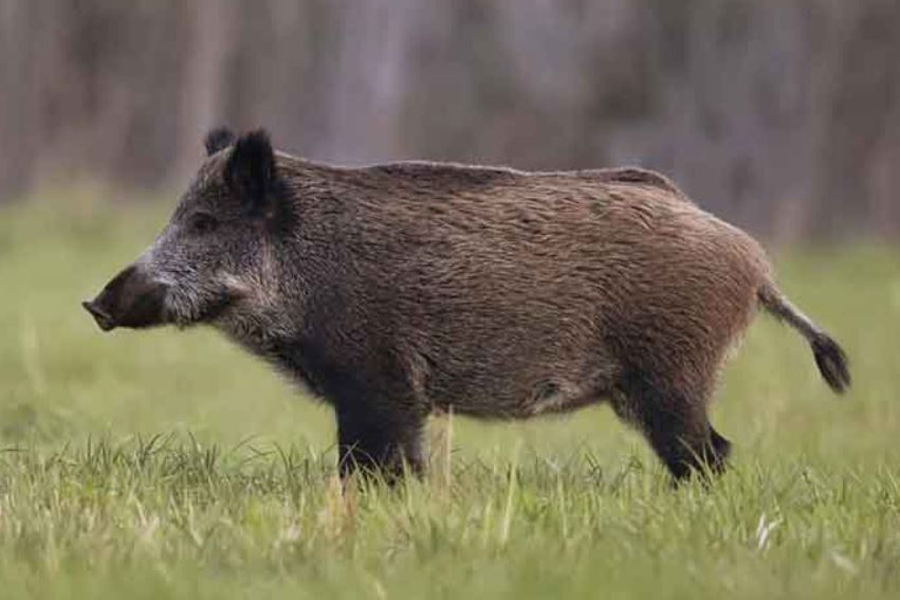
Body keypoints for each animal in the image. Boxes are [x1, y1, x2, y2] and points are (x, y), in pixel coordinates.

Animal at [83, 128, 850, 482]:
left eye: (204, 222)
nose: (94, 303)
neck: (306, 271)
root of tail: (755, 263)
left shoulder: (380, 382)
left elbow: (374, 461)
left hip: (671, 373)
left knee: (708, 452)